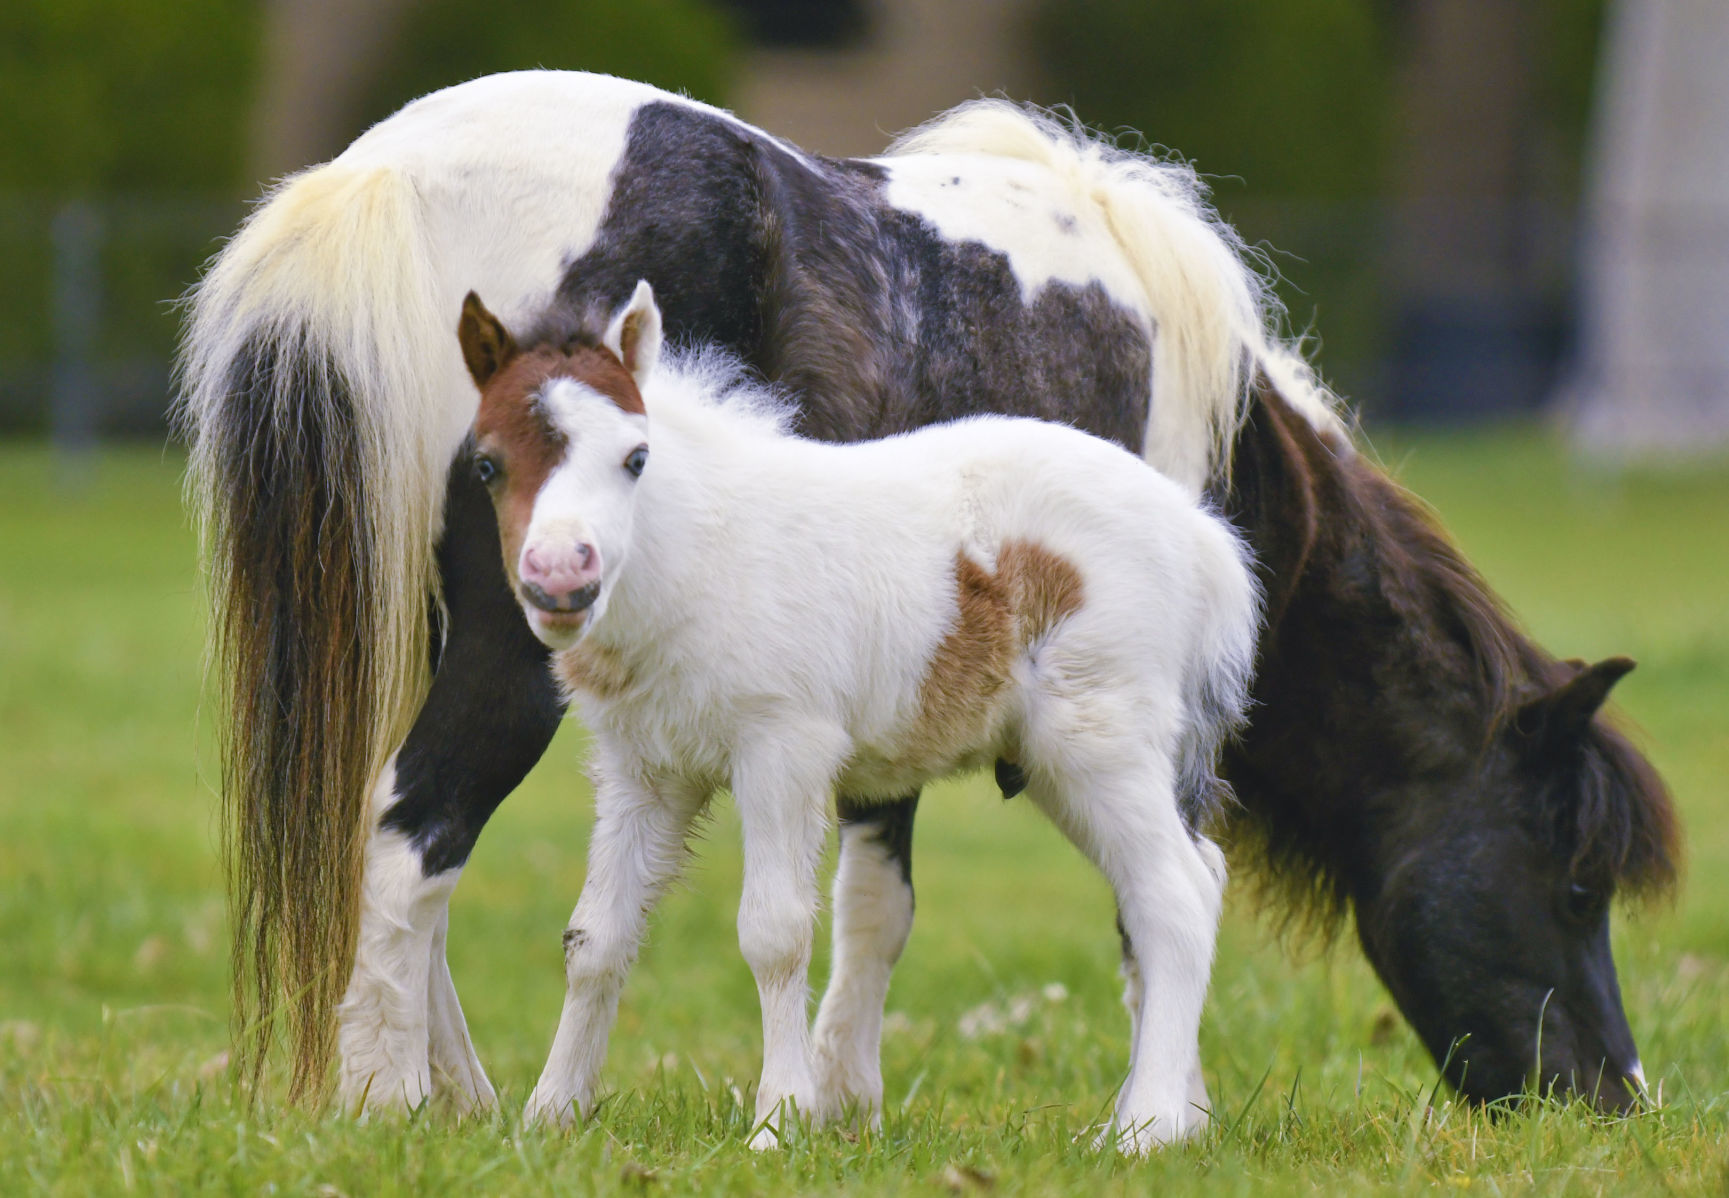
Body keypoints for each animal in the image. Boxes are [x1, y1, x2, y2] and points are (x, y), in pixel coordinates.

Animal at [454, 280, 1259, 1150]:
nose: (560, 579)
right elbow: (595, 938)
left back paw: (1147, 1128)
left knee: (1175, 896)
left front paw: (778, 1122)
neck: (699, 552)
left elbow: (773, 933)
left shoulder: (782, 748)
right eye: (488, 464)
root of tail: (1202, 538)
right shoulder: (645, 770)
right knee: (1191, 881)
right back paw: (1183, 1114)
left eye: (636, 459)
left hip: (1097, 742)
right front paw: (549, 1117)